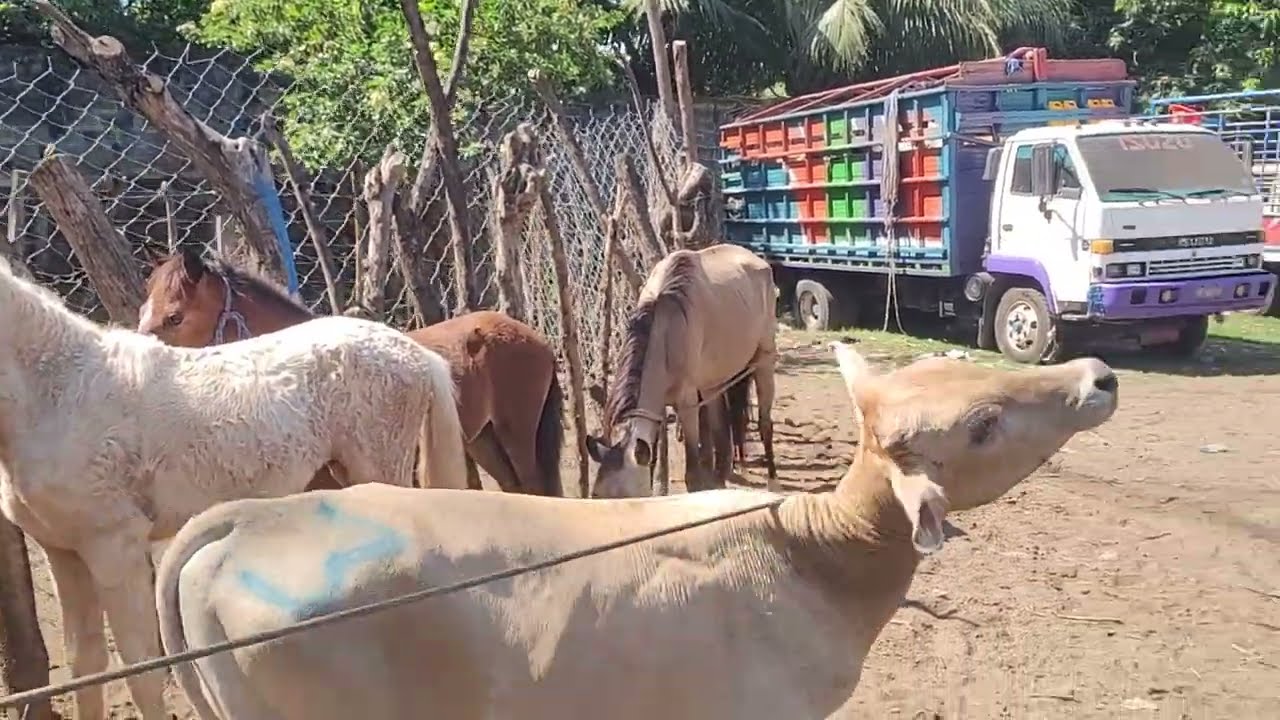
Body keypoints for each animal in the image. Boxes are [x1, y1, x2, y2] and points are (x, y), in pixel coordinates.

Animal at [0, 255, 467, 720]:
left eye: (174, 316)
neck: (62, 393)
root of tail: (411, 350)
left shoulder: (114, 548)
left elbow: (141, 671)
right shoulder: (64, 553)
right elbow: (86, 665)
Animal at [586, 244, 778, 498]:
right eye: (595, 494)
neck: (666, 328)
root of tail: (757, 260)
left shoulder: (687, 404)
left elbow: (692, 474)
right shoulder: (657, 408)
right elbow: (653, 463)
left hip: (764, 363)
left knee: (765, 423)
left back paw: (773, 479)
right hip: (713, 382)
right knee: (721, 431)